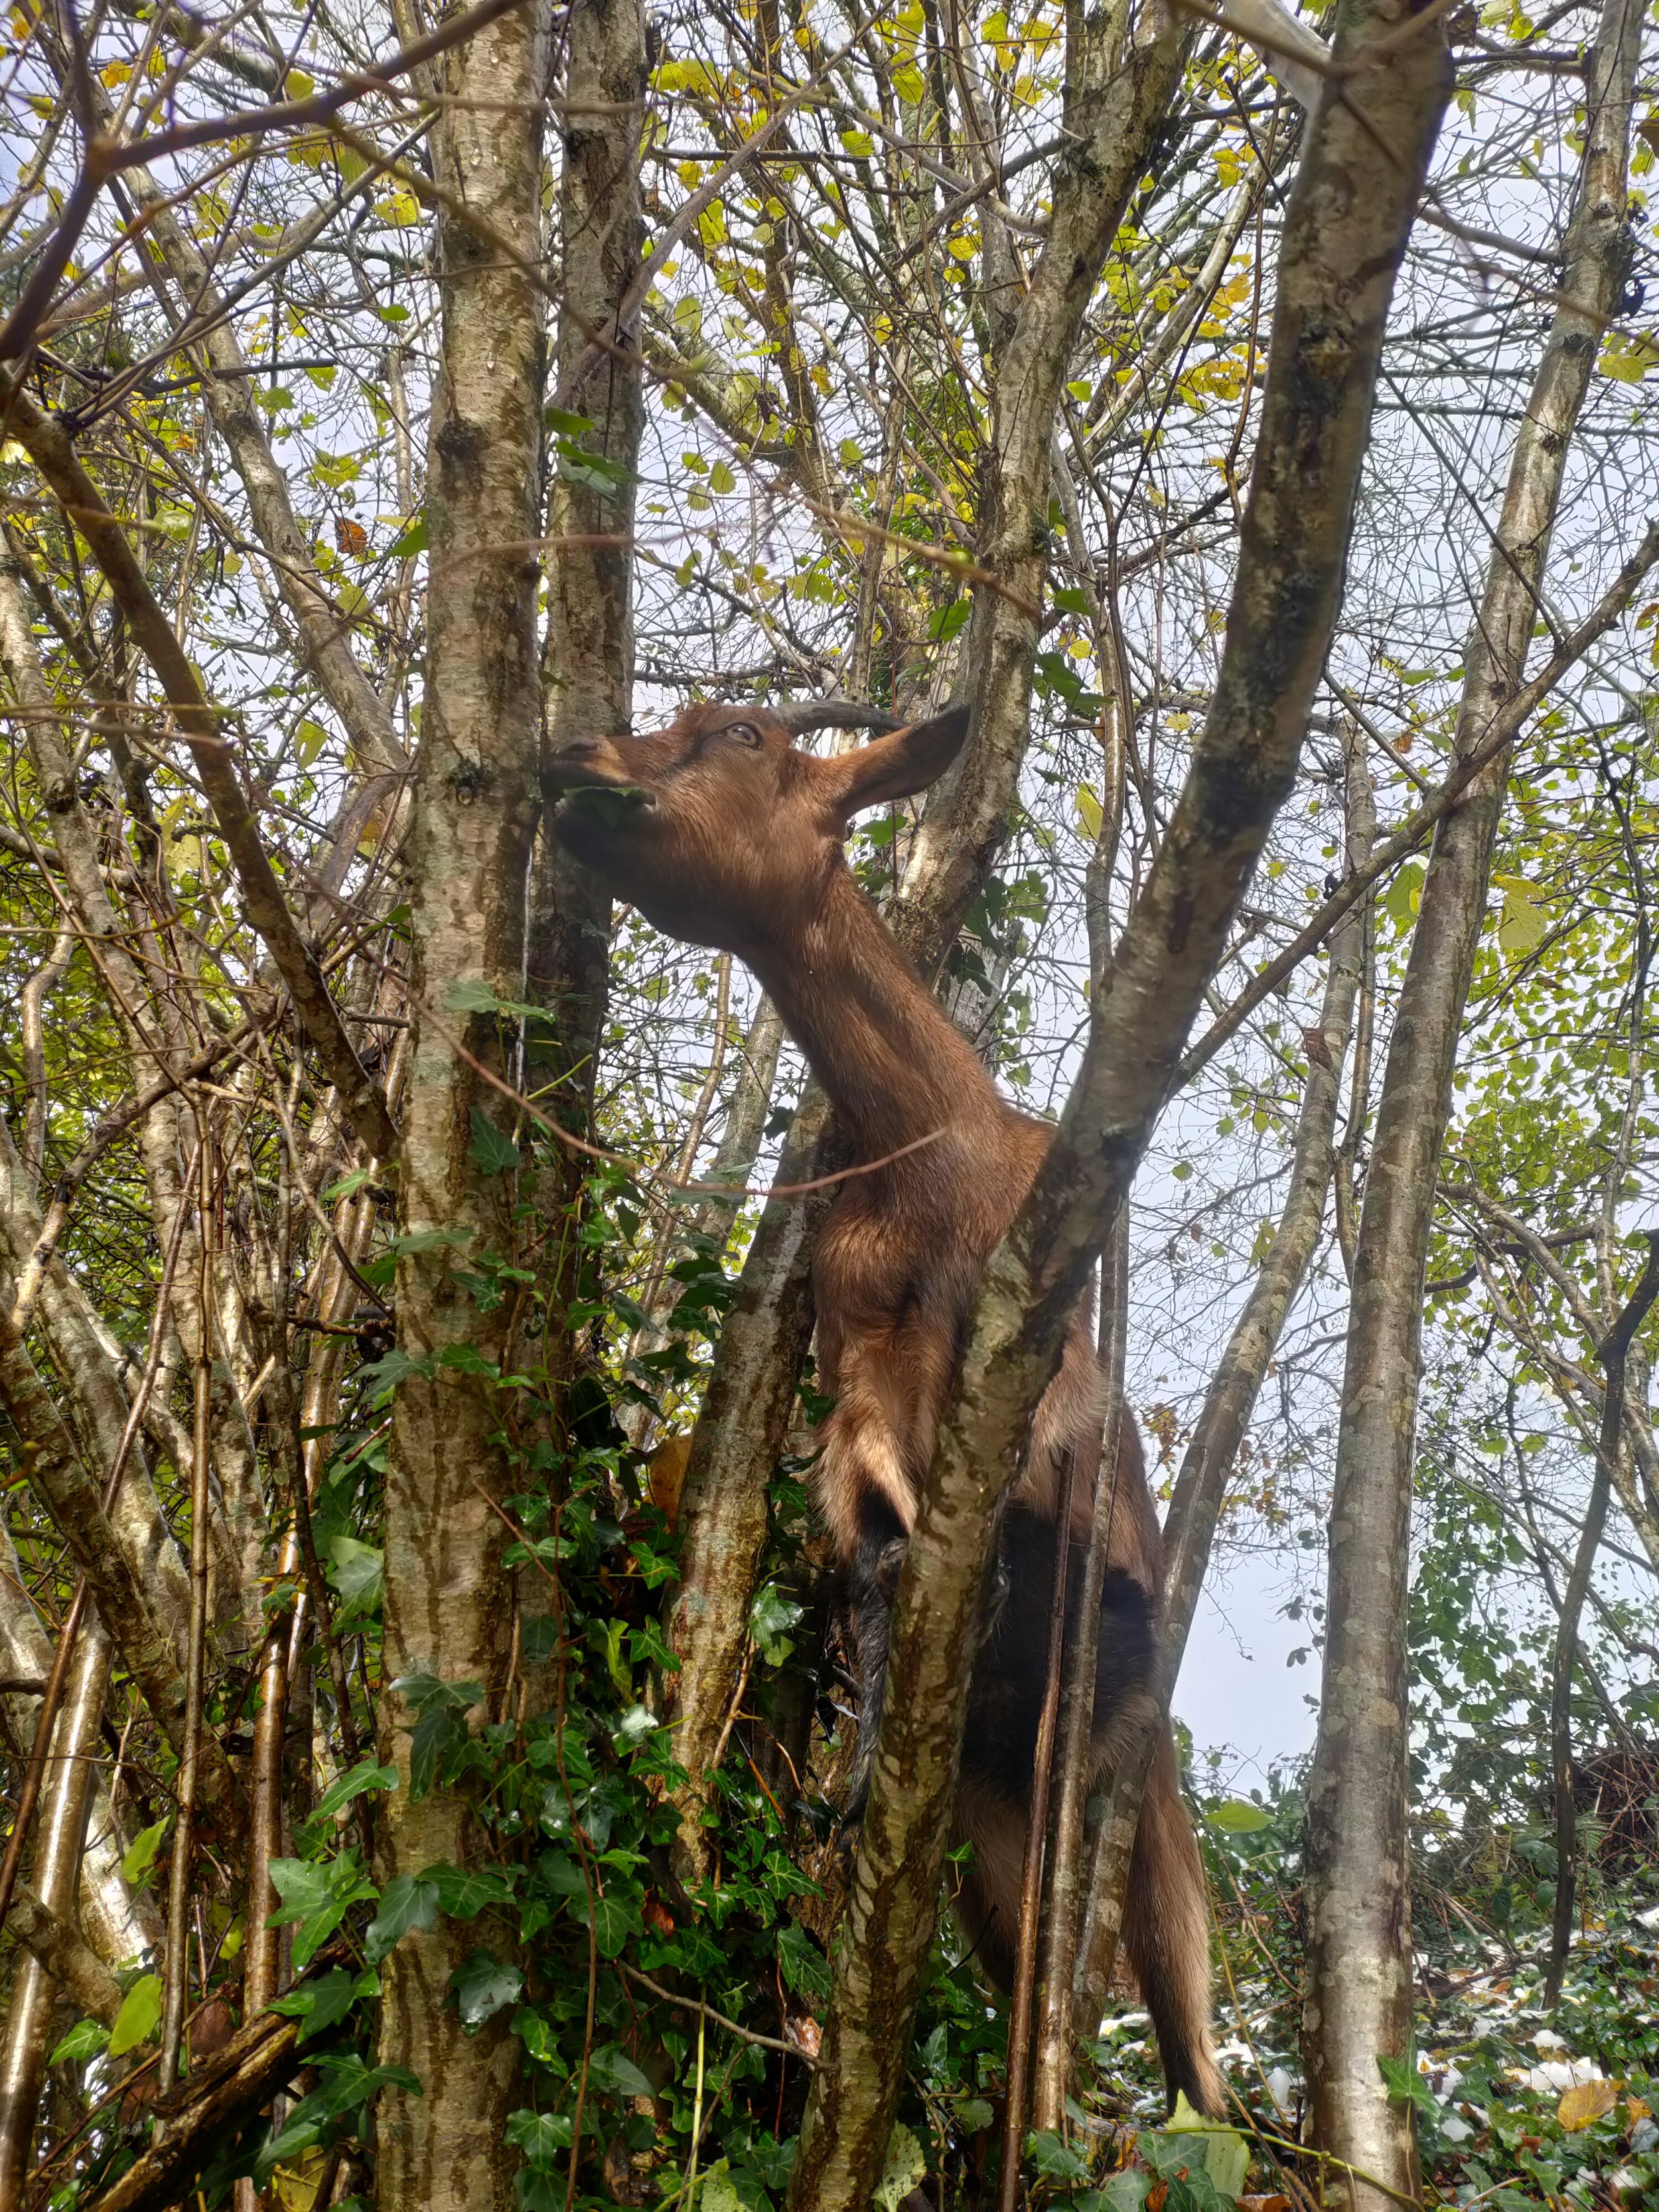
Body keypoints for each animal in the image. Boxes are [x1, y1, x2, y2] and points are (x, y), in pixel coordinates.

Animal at [547, 699, 1223, 2116]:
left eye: (743, 732)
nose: (572, 758)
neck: (930, 1153)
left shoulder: (1054, 1337)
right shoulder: (855, 1363)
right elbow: (868, 1526)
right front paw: (849, 1763)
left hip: (1132, 1773)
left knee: (1179, 2039)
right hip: (993, 1829)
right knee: (1038, 2005)